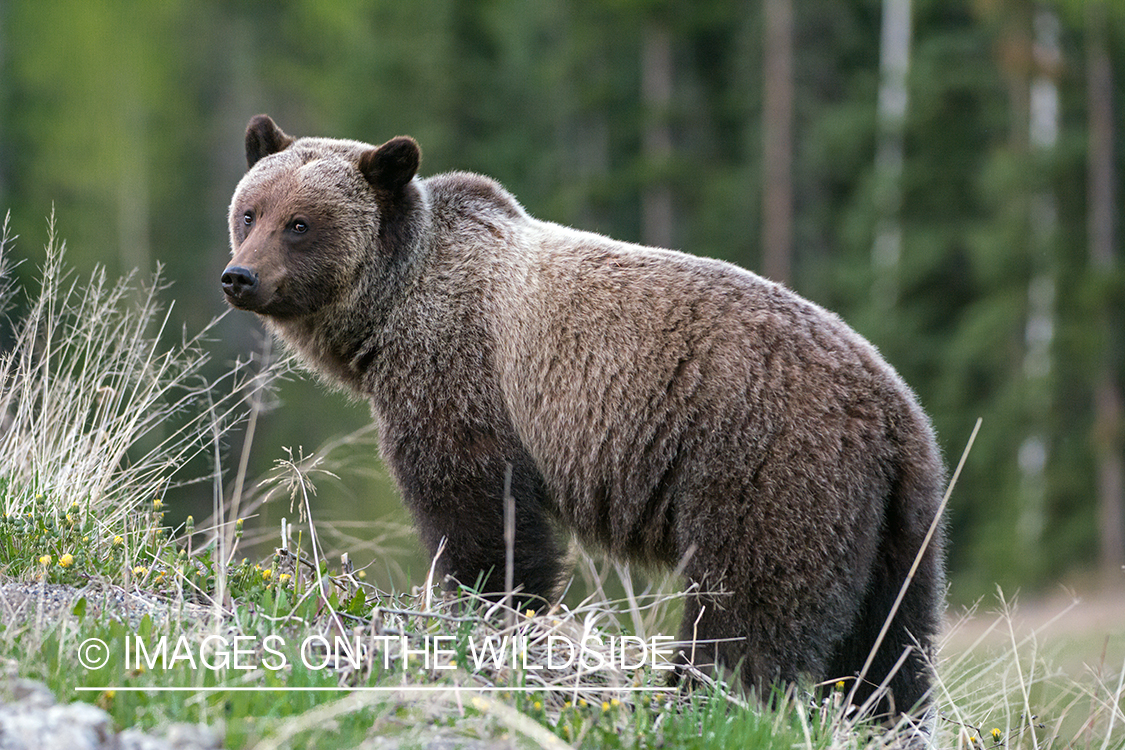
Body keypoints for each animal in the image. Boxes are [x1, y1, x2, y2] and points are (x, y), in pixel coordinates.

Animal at [219, 114, 940, 724]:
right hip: (896, 524)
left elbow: (480, 511)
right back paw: (882, 716)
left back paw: (699, 698)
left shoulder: (462, 373)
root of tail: (892, 411)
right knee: (892, 640)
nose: (239, 276)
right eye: (250, 211)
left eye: (300, 223)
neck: (390, 309)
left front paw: (494, 610)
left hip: (767, 466)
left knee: (750, 603)